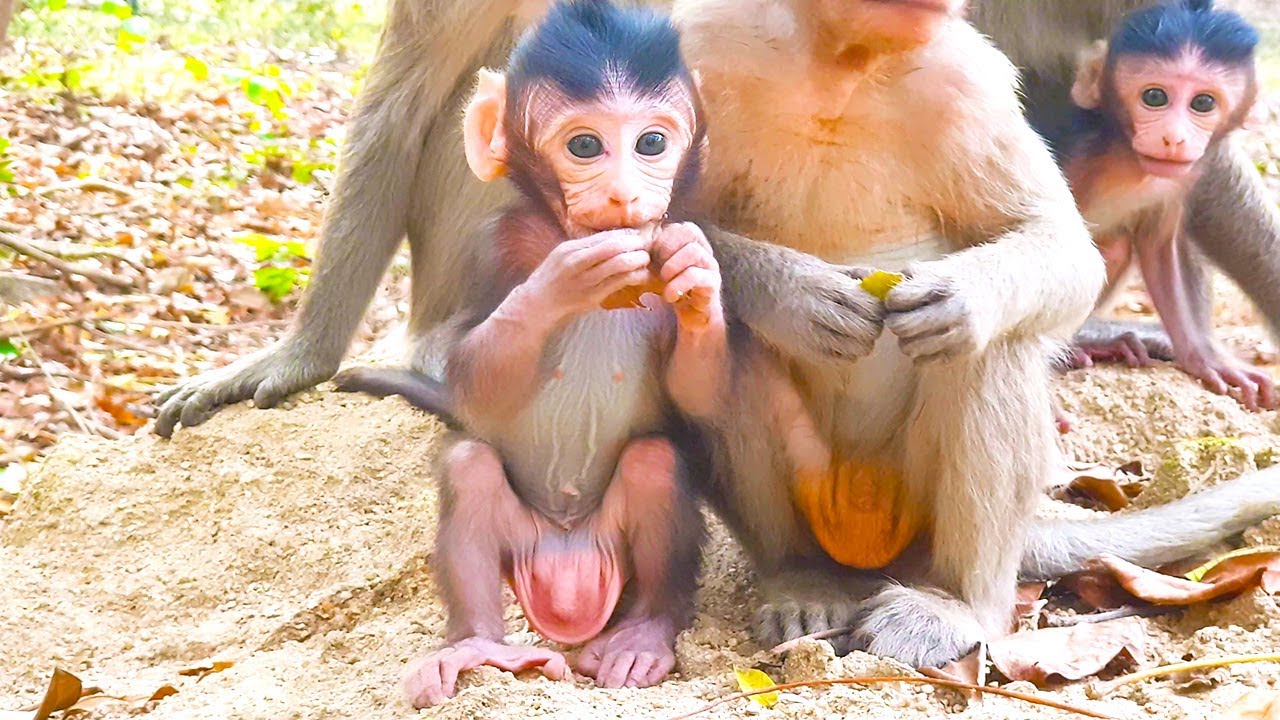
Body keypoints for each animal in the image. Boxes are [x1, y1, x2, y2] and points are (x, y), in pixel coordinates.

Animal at [332, 2, 723, 705]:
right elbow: (473, 378)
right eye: (585, 146)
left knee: (654, 462)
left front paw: (696, 279)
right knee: (469, 468)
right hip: (526, 544)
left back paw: (643, 636)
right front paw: (560, 282)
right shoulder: (497, 244)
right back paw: (478, 646)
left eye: (651, 143)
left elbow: (697, 399)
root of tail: (568, 569)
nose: (625, 196)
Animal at [1055, 0, 1275, 411]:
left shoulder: (1183, 178)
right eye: (1154, 97)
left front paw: (1206, 358)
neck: (1126, 161)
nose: (1173, 138)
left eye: (1203, 103)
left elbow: (1159, 249)